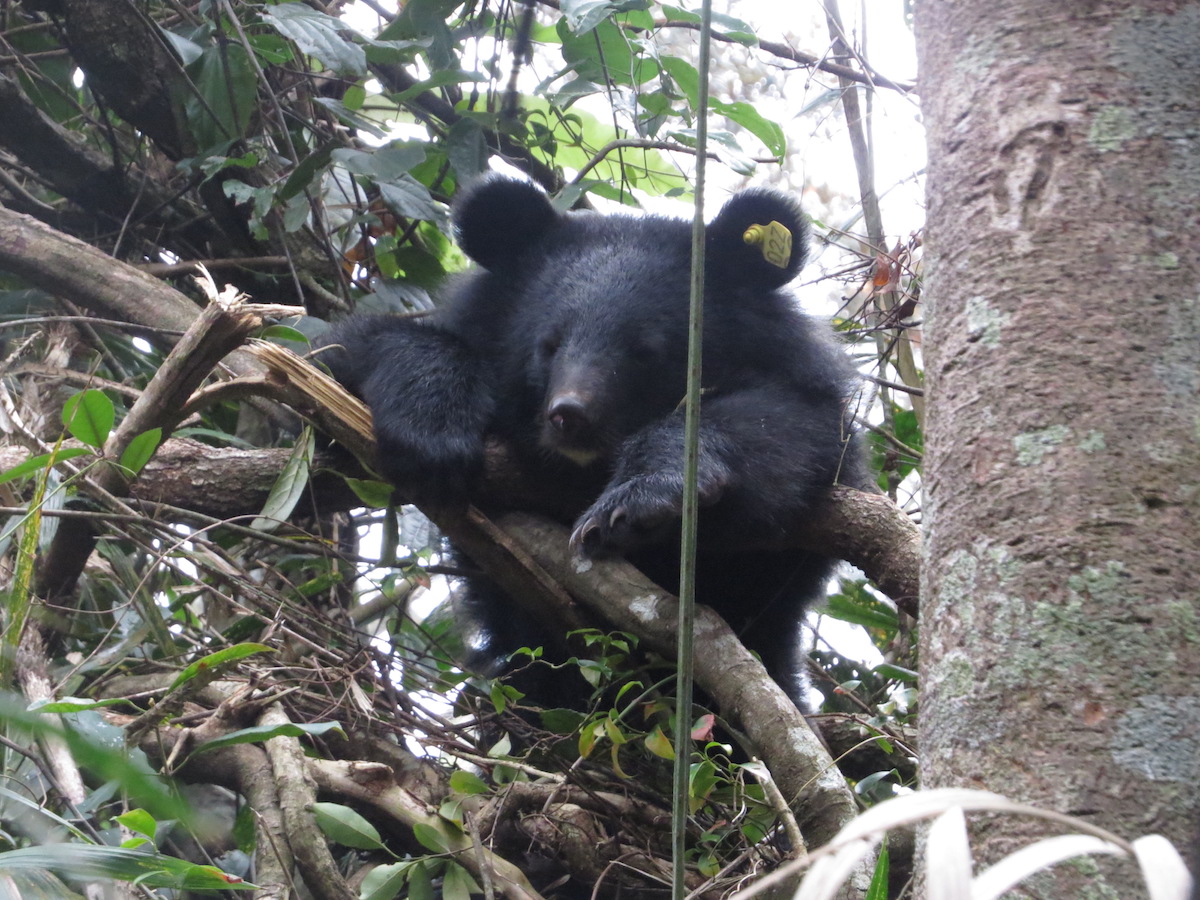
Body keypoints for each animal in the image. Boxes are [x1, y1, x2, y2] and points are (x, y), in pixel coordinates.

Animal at [322, 176, 864, 709]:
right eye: (549, 344)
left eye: (645, 352)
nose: (570, 415)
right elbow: (343, 357)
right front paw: (432, 434)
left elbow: (793, 428)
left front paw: (637, 503)